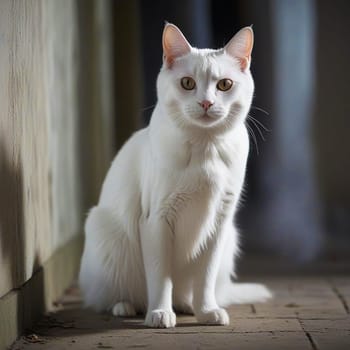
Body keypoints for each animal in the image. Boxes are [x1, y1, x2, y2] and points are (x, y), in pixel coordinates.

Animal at [78, 23, 270, 326]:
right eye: (188, 83)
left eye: (224, 84)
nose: (206, 103)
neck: (204, 148)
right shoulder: (156, 219)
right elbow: (160, 276)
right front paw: (159, 313)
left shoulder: (219, 223)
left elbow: (204, 278)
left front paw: (207, 311)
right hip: (106, 235)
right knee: (109, 297)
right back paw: (126, 306)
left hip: (230, 239)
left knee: (189, 290)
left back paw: (189, 305)